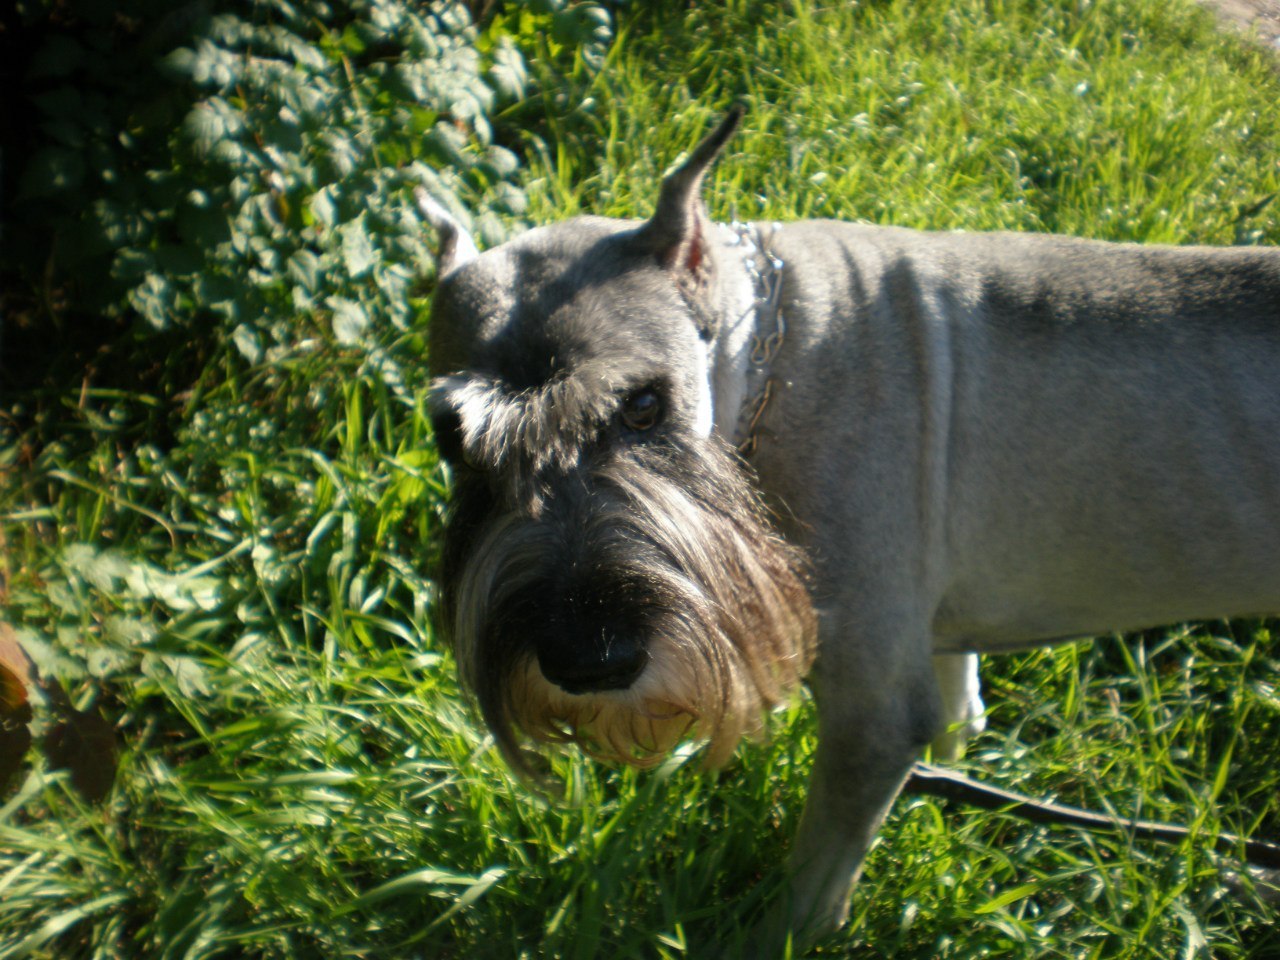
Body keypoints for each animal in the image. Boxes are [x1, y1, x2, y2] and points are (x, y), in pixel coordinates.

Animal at [419, 108, 1280, 952]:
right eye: (450, 440)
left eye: (642, 404)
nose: (587, 660)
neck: (765, 358)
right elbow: (957, 714)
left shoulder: (871, 720)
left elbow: (807, 898)